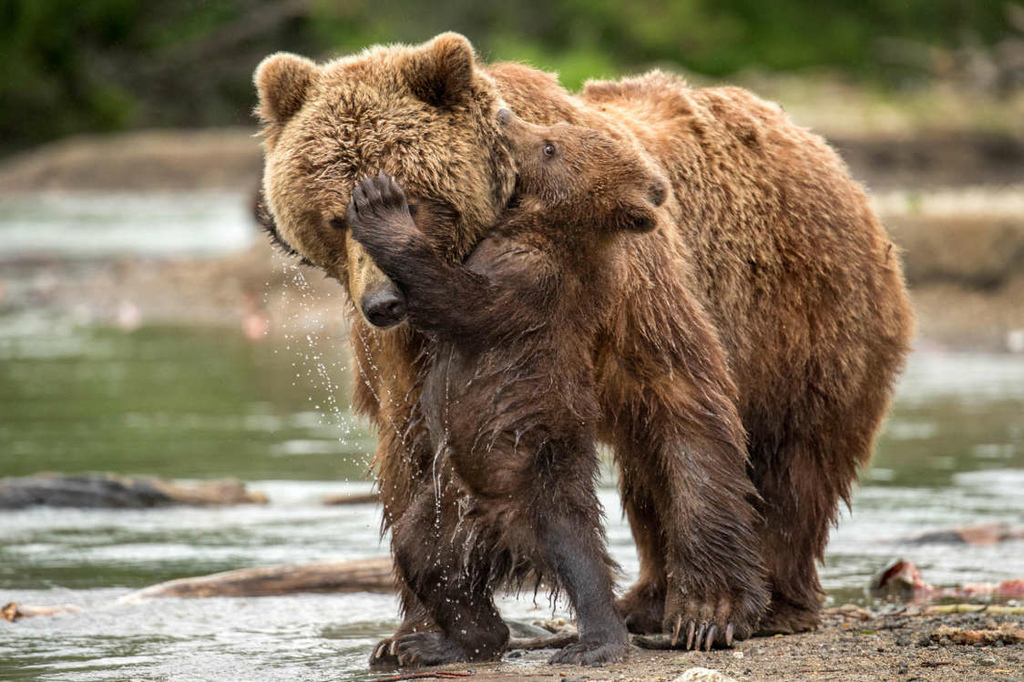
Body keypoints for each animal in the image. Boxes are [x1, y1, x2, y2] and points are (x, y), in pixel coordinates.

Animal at [251, 33, 917, 659]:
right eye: (332, 217)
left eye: (412, 198)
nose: (384, 302)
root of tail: (823, 150)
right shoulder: (400, 354)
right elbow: (413, 454)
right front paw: (408, 633)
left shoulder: (623, 279)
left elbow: (683, 394)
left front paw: (712, 610)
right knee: (642, 476)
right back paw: (643, 601)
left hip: (807, 320)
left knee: (794, 461)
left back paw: (773, 601)